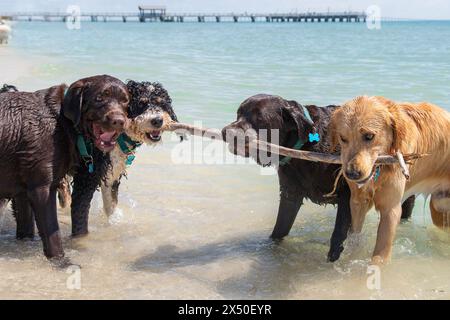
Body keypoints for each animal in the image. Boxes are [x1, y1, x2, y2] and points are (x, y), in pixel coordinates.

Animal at [0, 75, 130, 260]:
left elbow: (26, 228)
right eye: (99, 98)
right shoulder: (42, 190)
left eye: (125, 101)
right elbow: (52, 235)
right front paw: (62, 261)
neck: (61, 122)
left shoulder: (23, 191)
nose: (119, 121)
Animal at [221, 94, 414, 262]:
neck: (306, 145)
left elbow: (338, 235)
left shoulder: (347, 197)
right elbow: (280, 228)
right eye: (238, 113)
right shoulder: (290, 195)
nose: (225, 132)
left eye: (260, 118)